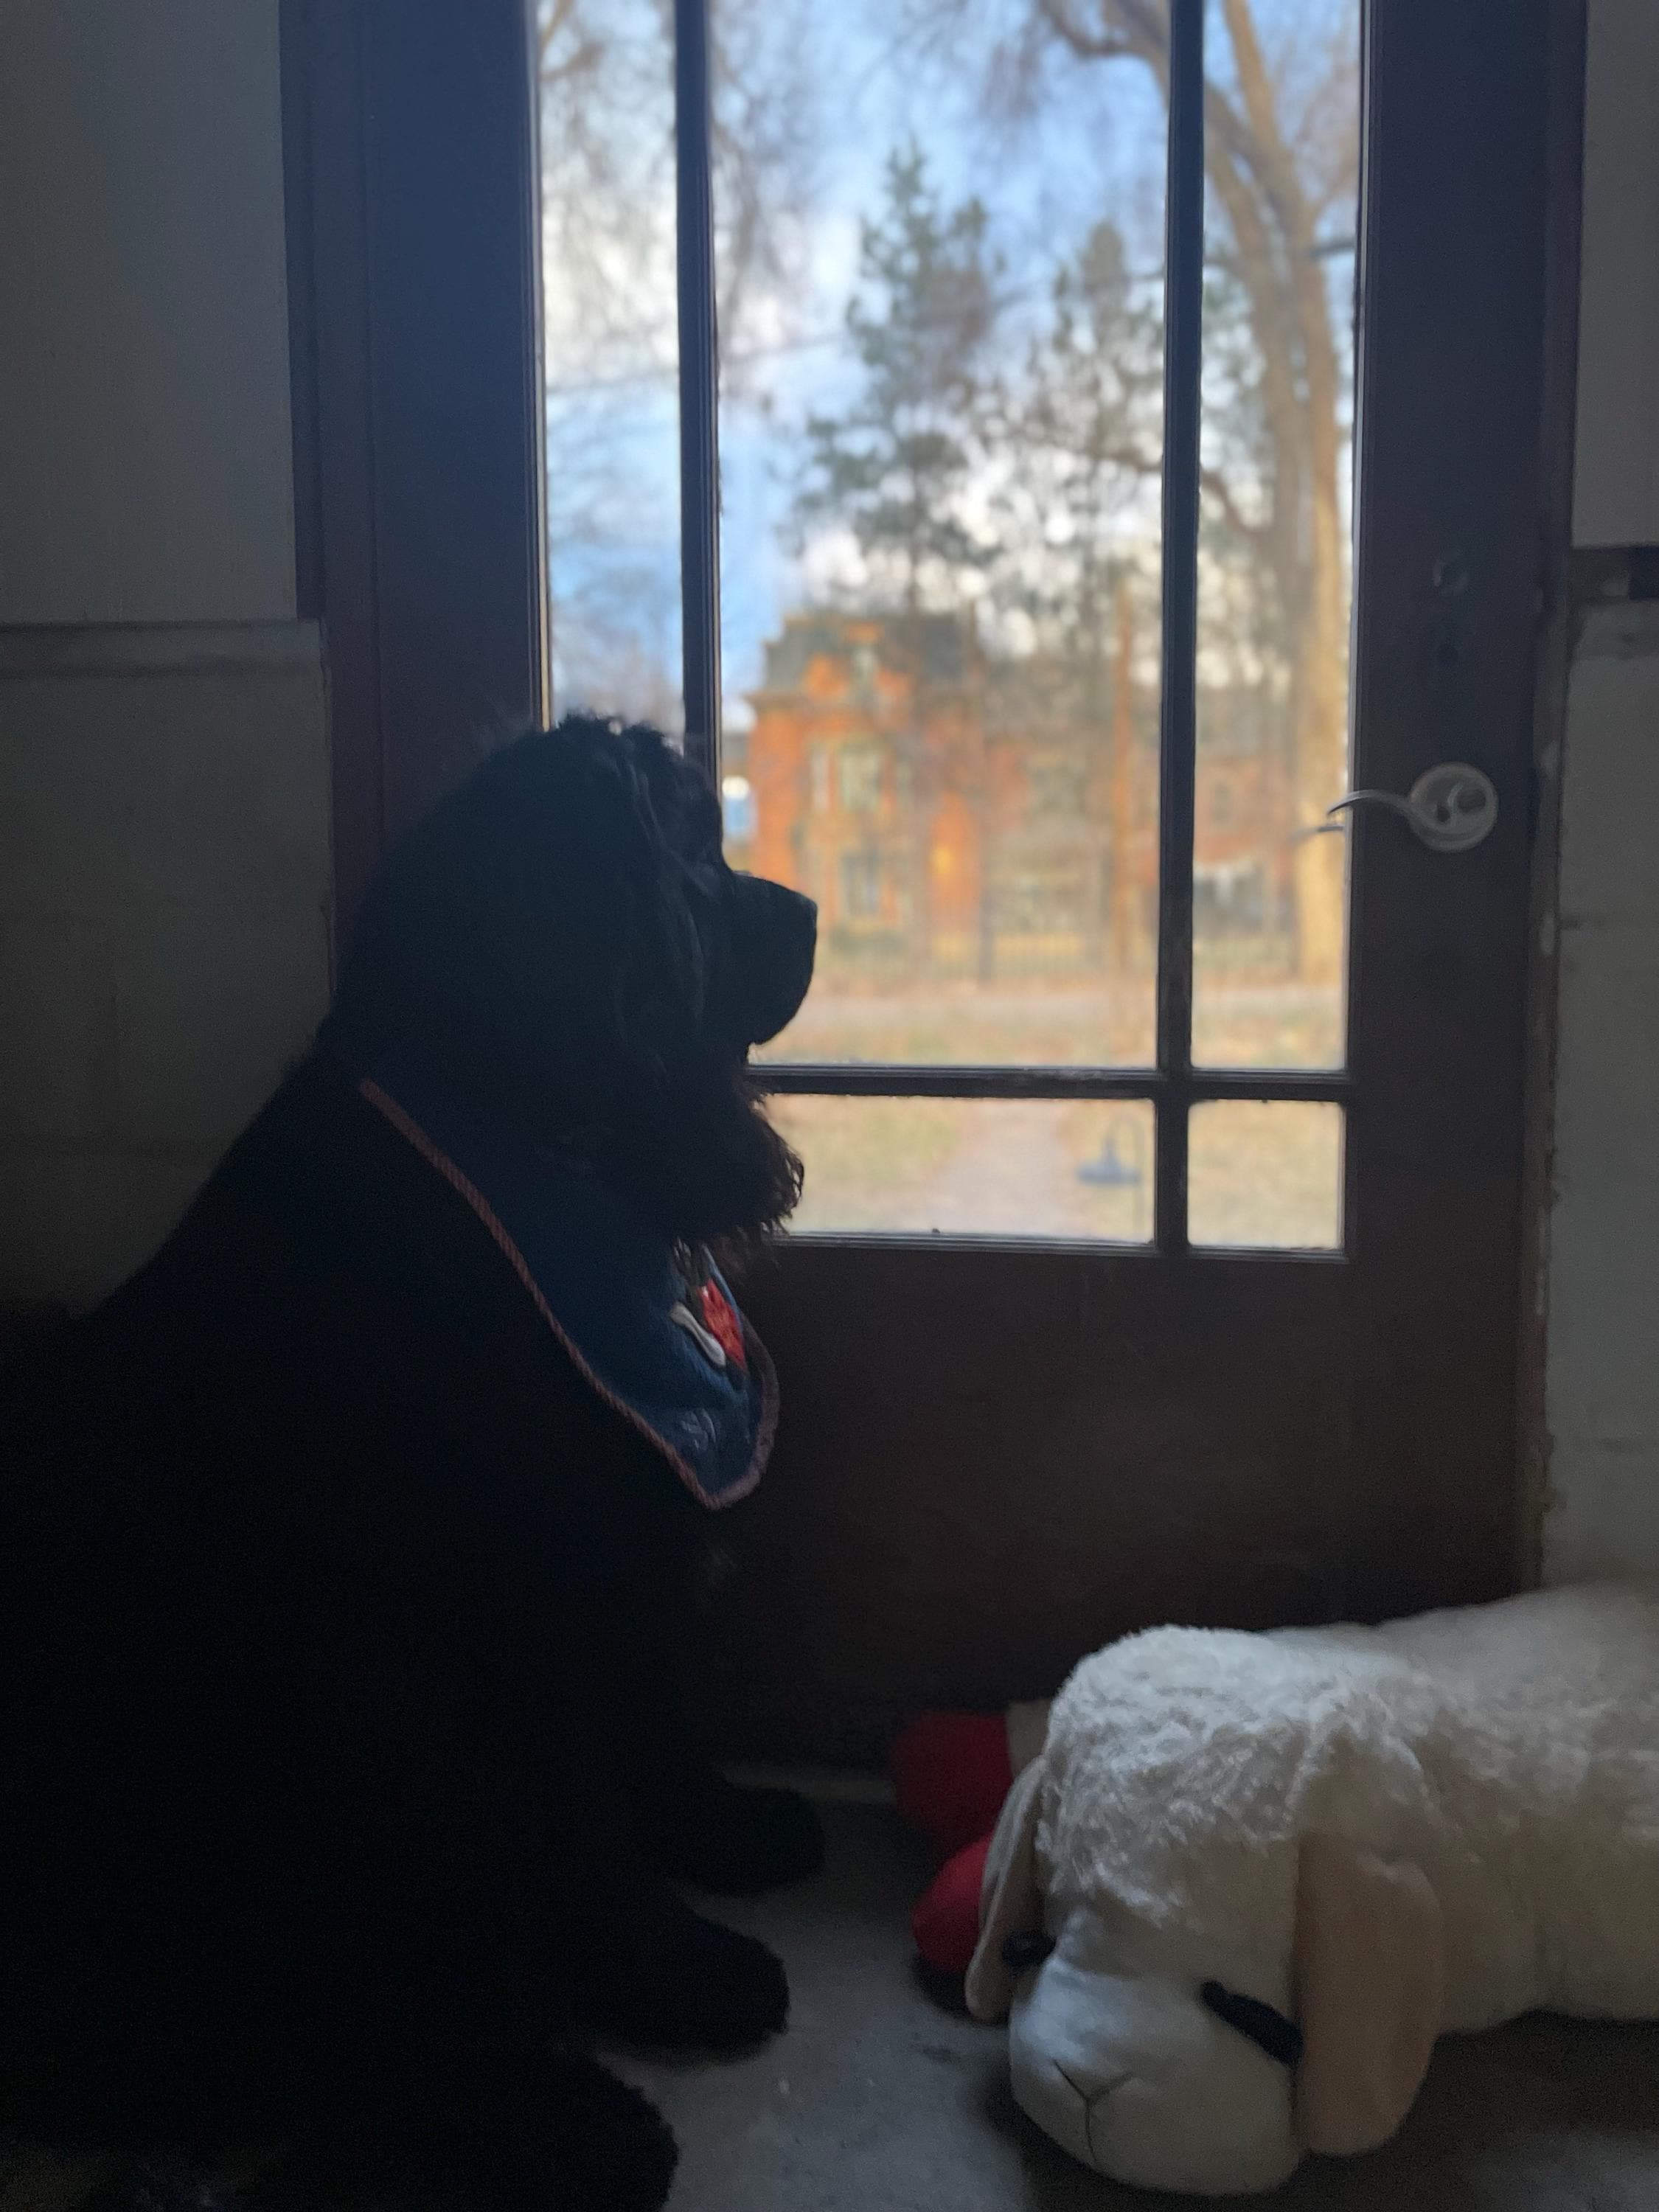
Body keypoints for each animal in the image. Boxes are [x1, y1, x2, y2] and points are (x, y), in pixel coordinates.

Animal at [0, 717, 820, 2212]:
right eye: (684, 850)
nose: (808, 914)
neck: (524, 1119)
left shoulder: (621, 1560)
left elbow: (655, 1726)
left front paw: (723, 1828)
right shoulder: (520, 1620)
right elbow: (579, 1819)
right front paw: (670, 1961)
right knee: (359, 2021)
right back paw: (577, 2122)